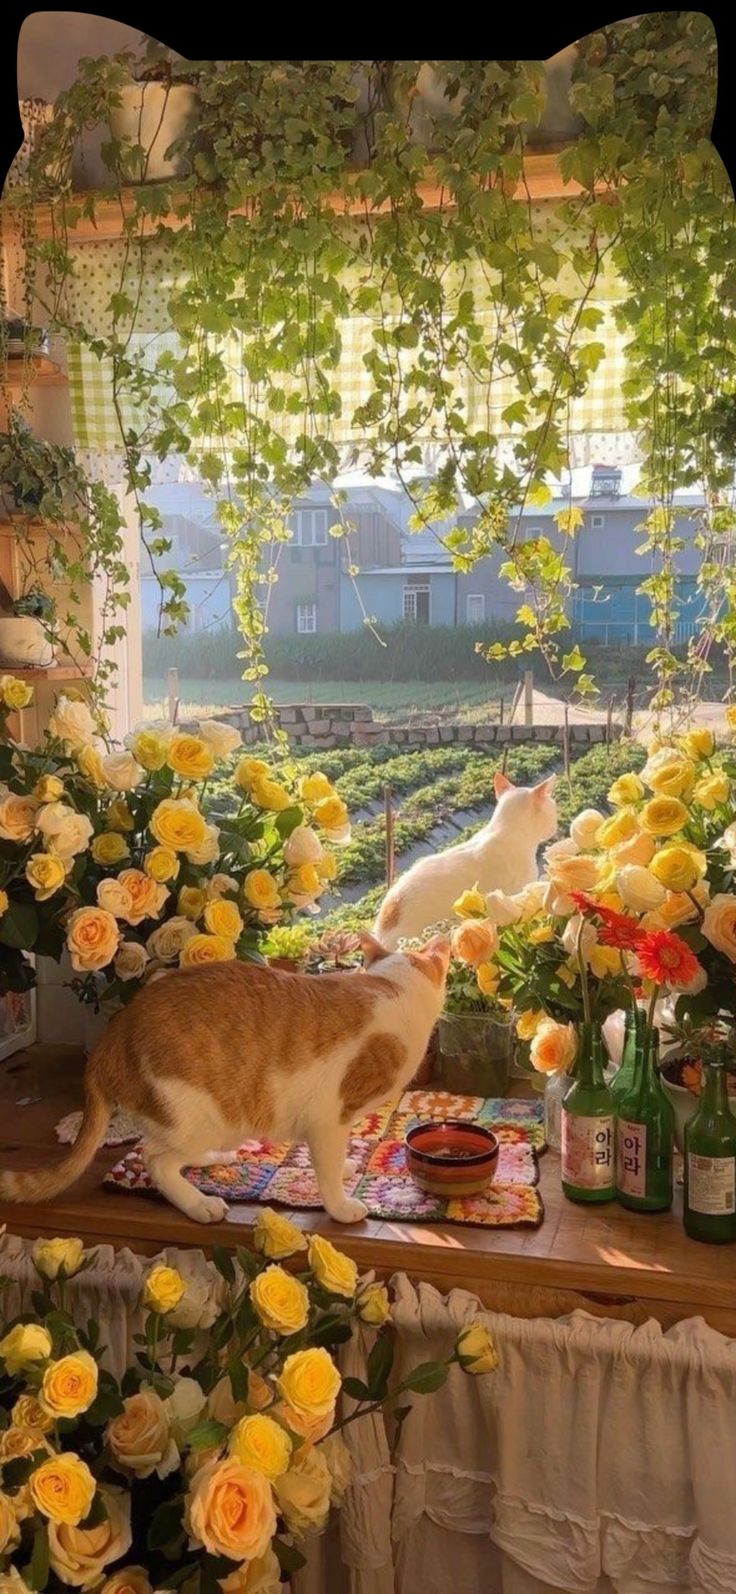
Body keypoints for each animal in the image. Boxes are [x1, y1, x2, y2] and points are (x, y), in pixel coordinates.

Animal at [0, 930, 449, 1217]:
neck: (392, 989)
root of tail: (113, 1034)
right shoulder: (329, 1119)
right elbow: (325, 1168)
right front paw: (341, 1205)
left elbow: (329, 1158)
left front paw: (344, 1169)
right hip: (202, 1114)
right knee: (156, 1159)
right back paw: (200, 1205)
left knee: (167, 1149)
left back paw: (216, 1159)